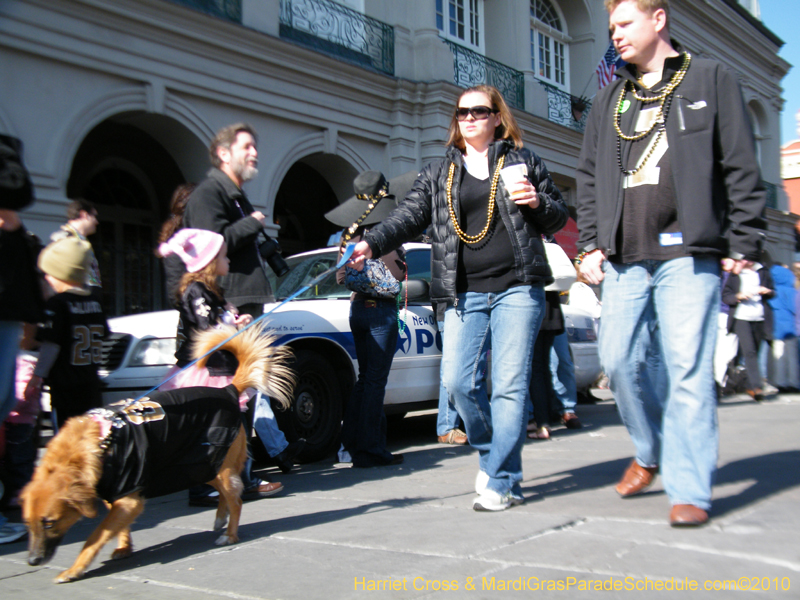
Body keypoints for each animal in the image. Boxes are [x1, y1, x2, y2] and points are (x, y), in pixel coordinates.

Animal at [20, 322, 292, 584]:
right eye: (27, 523)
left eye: (49, 522)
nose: (32, 561)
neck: (98, 445)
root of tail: (229, 390)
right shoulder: (118, 494)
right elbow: (119, 527)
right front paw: (124, 547)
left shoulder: (128, 497)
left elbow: (95, 537)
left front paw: (74, 569)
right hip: (201, 467)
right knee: (228, 495)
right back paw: (220, 519)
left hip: (214, 465)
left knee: (236, 500)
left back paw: (230, 535)